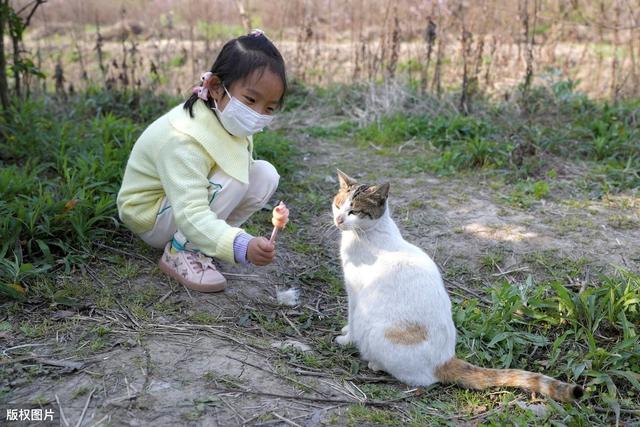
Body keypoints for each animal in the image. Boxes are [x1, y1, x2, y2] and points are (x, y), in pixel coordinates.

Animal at [332, 169, 584, 402]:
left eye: (354, 211)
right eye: (338, 205)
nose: (339, 220)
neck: (368, 232)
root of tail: (445, 359)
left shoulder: (354, 292)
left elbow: (351, 319)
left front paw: (346, 339)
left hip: (376, 331)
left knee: (417, 377)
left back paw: (375, 364)